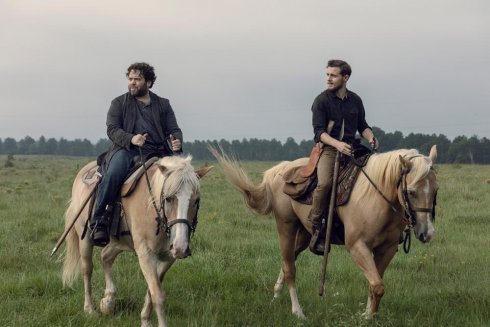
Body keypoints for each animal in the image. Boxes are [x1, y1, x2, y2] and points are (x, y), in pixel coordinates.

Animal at [61, 156, 212, 327]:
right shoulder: (146, 254)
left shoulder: (168, 257)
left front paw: (145, 320)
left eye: (196, 200)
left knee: (105, 257)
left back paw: (108, 301)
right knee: (87, 269)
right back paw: (89, 309)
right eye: (168, 198)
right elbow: (158, 295)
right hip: (85, 237)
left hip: (120, 242)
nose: (180, 247)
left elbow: (152, 290)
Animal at [211, 147, 436, 320]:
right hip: (286, 226)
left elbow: (375, 285)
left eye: (435, 190)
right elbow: (377, 285)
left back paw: (276, 295)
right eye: (412, 192)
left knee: (287, 261)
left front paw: (367, 315)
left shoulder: (386, 250)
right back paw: (298, 312)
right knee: (290, 268)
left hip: (304, 234)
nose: (426, 233)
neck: (376, 195)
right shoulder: (357, 246)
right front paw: (368, 317)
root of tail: (279, 170)